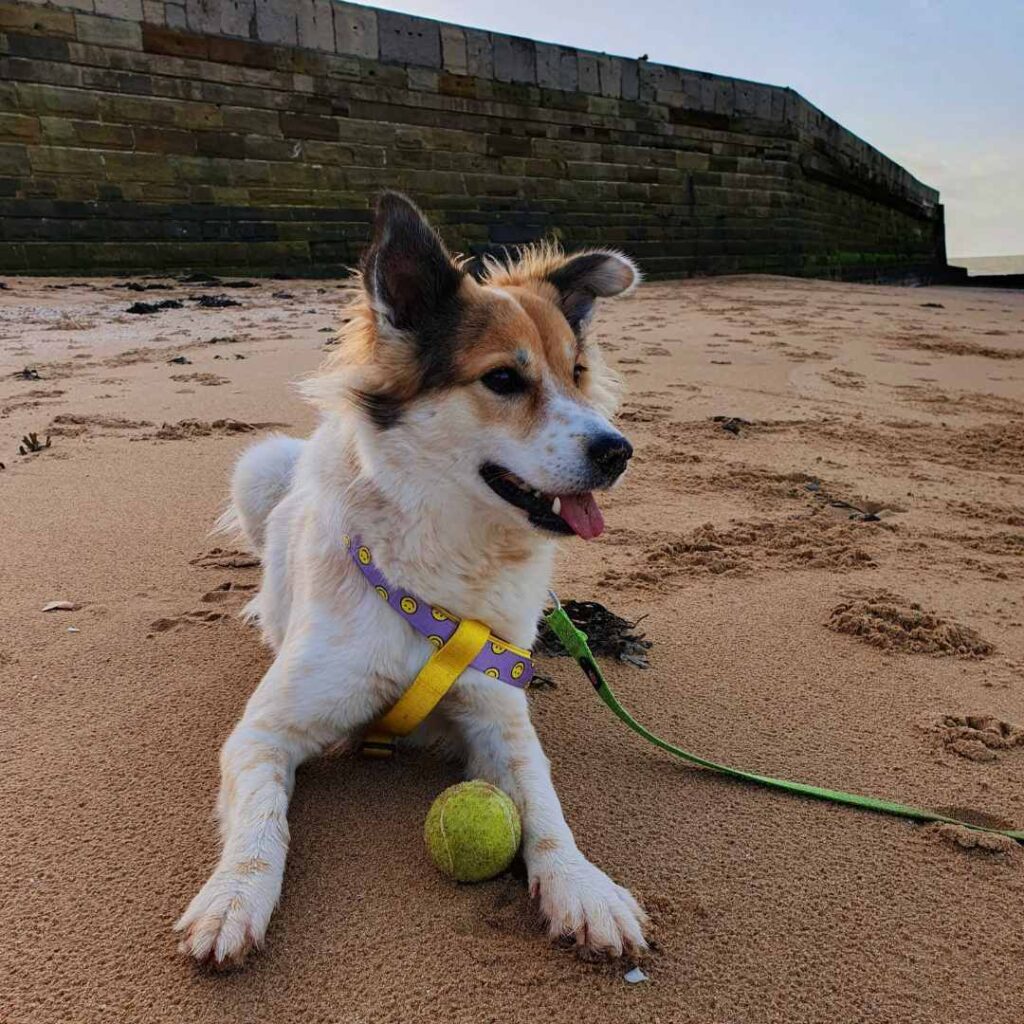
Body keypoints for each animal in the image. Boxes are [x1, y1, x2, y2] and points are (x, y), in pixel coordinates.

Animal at [172, 193, 643, 966]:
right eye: (503, 379)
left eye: (576, 371)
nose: (618, 451)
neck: (442, 561)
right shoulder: (263, 733)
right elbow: (262, 825)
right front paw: (233, 897)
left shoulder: (496, 714)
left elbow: (546, 807)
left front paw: (584, 887)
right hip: (259, 464)